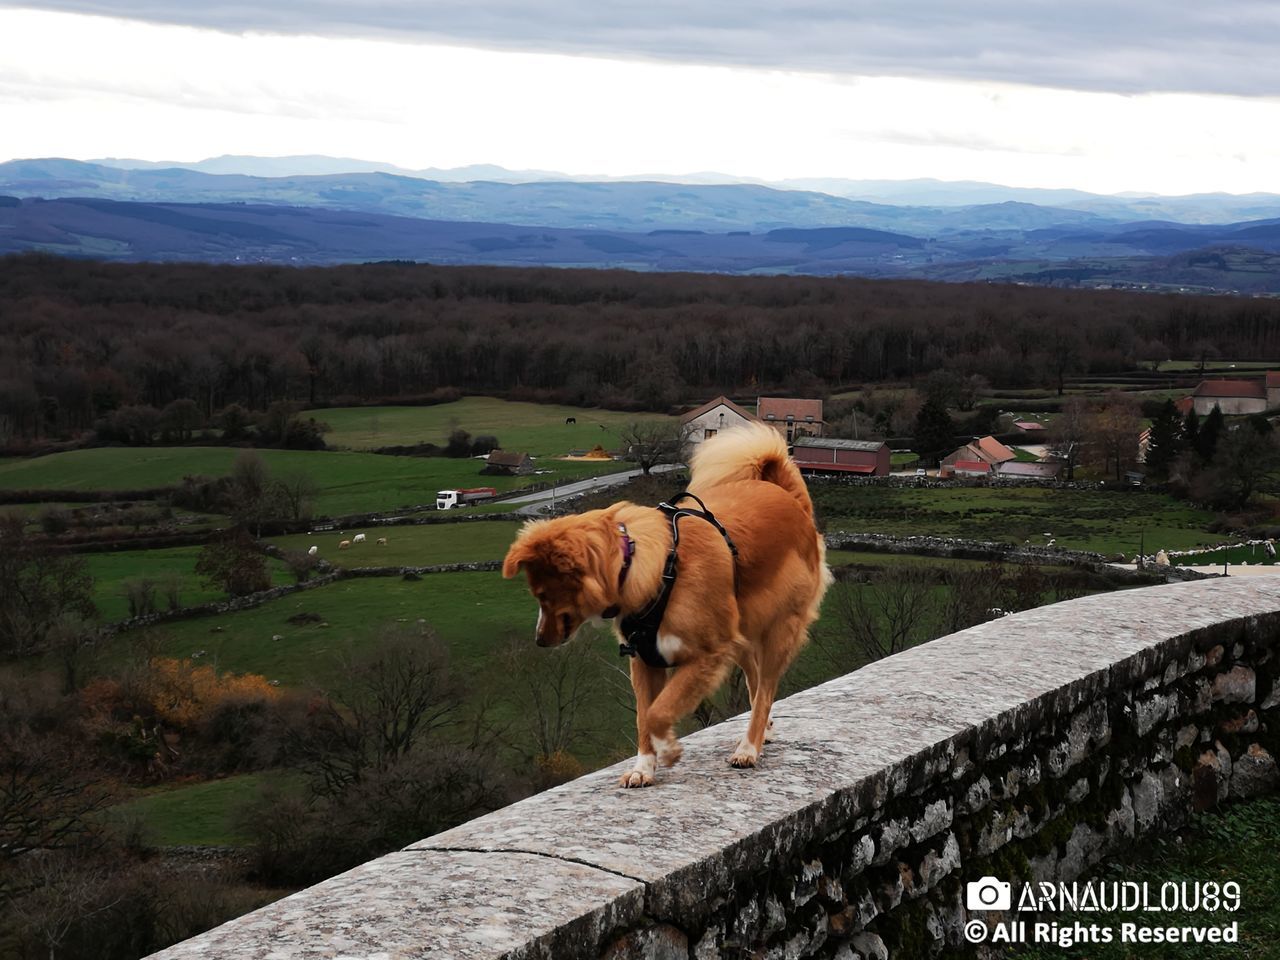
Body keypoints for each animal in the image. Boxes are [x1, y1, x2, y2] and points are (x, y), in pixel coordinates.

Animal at [499, 424, 829, 783]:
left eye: (543, 595)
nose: (539, 641)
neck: (649, 569)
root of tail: (791, 500)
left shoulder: (707, 655)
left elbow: (658, 712)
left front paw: (669, 749)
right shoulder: (645, 659)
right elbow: (644, 715)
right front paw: (644, 767)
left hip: (779, 630)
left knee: (766, 687)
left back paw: (749, 747)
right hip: (742, 630)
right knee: (756, 683)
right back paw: (762, 730)